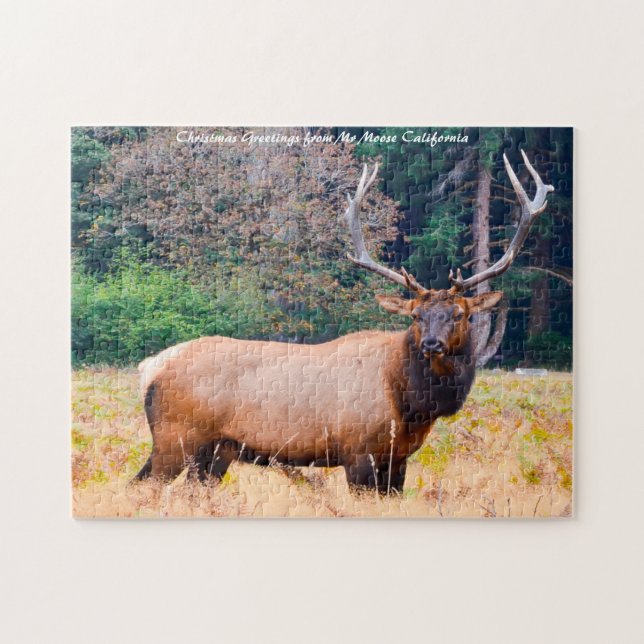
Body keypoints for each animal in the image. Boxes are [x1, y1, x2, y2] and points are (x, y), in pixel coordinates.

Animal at [133, 151, 553, 494]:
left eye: (460, 314)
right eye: (416, 315)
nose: (431, 344)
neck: (410, 403)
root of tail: (150, 367)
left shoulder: (397, 459)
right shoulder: (359, 453)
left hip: (217, 451)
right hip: (176, 437)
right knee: (144, 485)